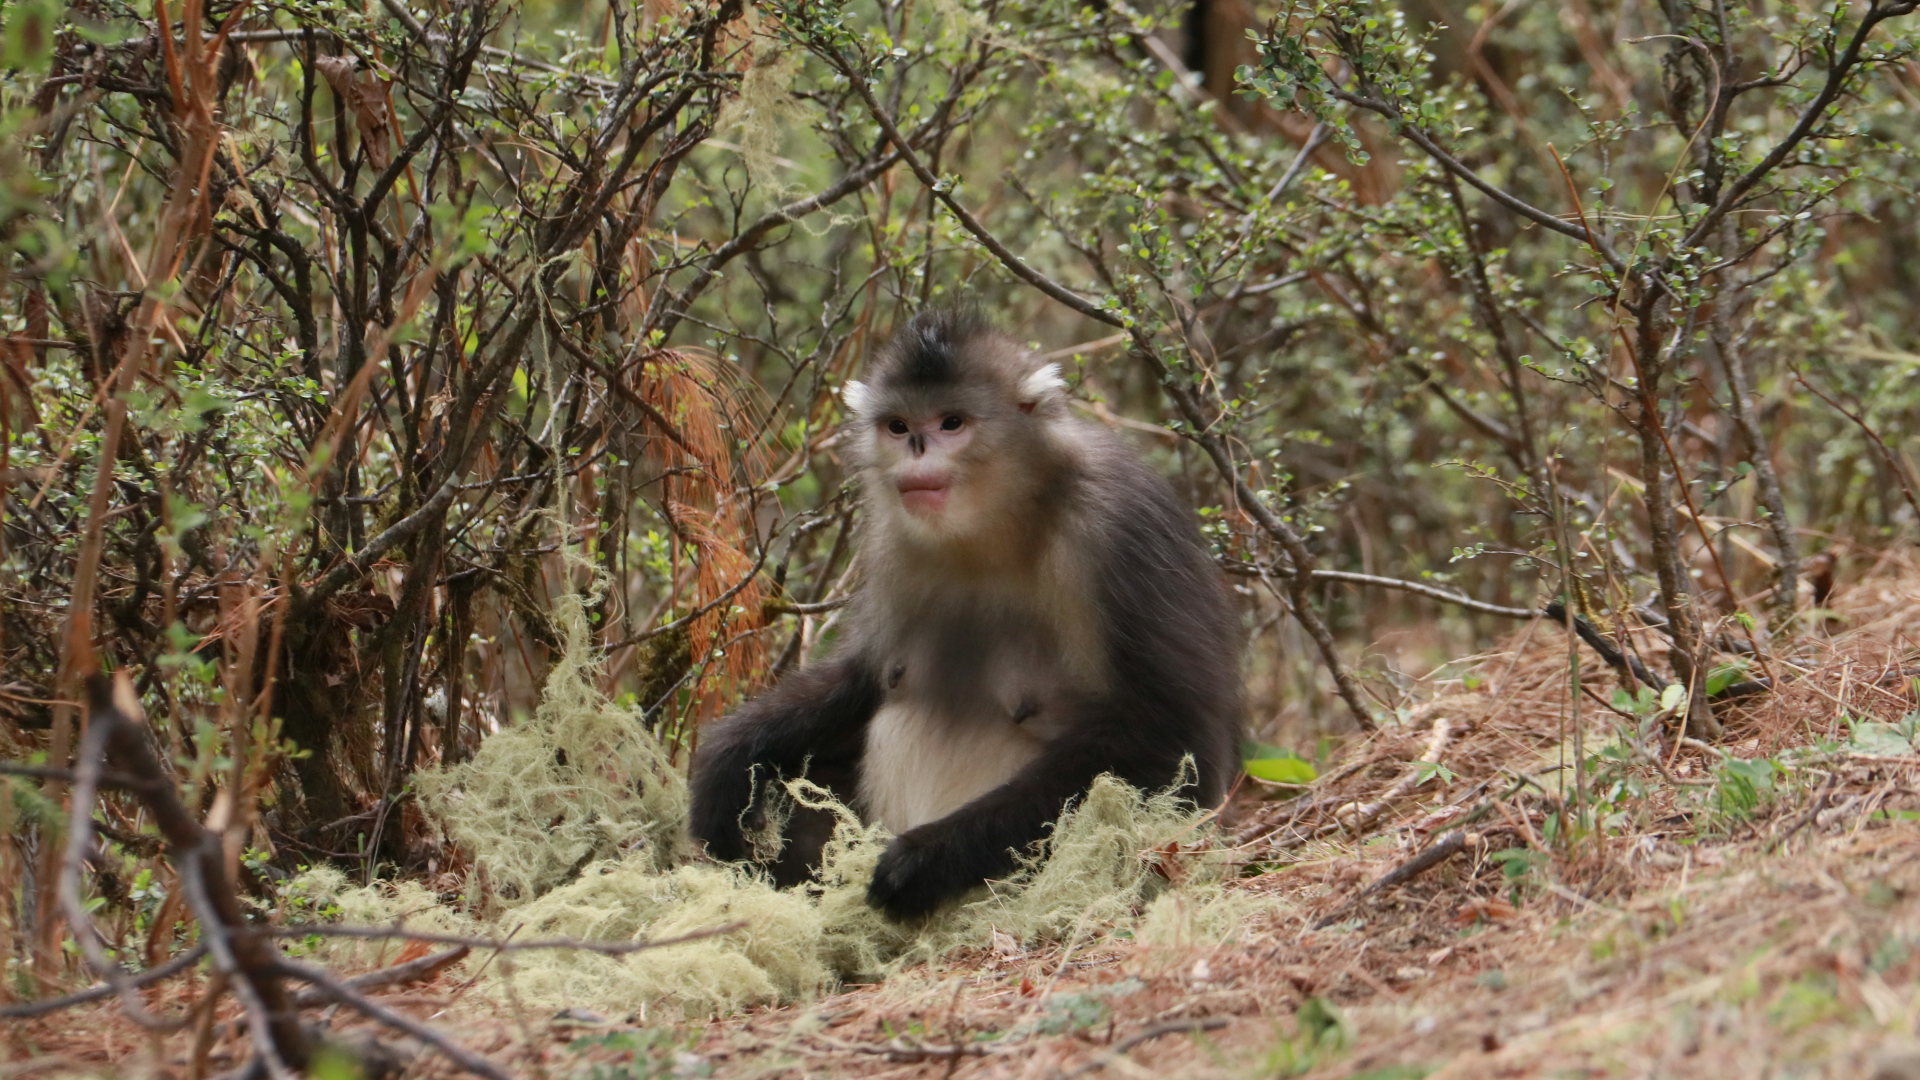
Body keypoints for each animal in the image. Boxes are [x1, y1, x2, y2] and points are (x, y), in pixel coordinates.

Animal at [689, 310, 1243, 919]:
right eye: (899, 426)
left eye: (951, 422)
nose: (916, 451)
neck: (996, 529)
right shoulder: (891, 541)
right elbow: (867, 677)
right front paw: (728, 761)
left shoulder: (1121, 527)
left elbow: (1172, 736)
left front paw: (927, 858)